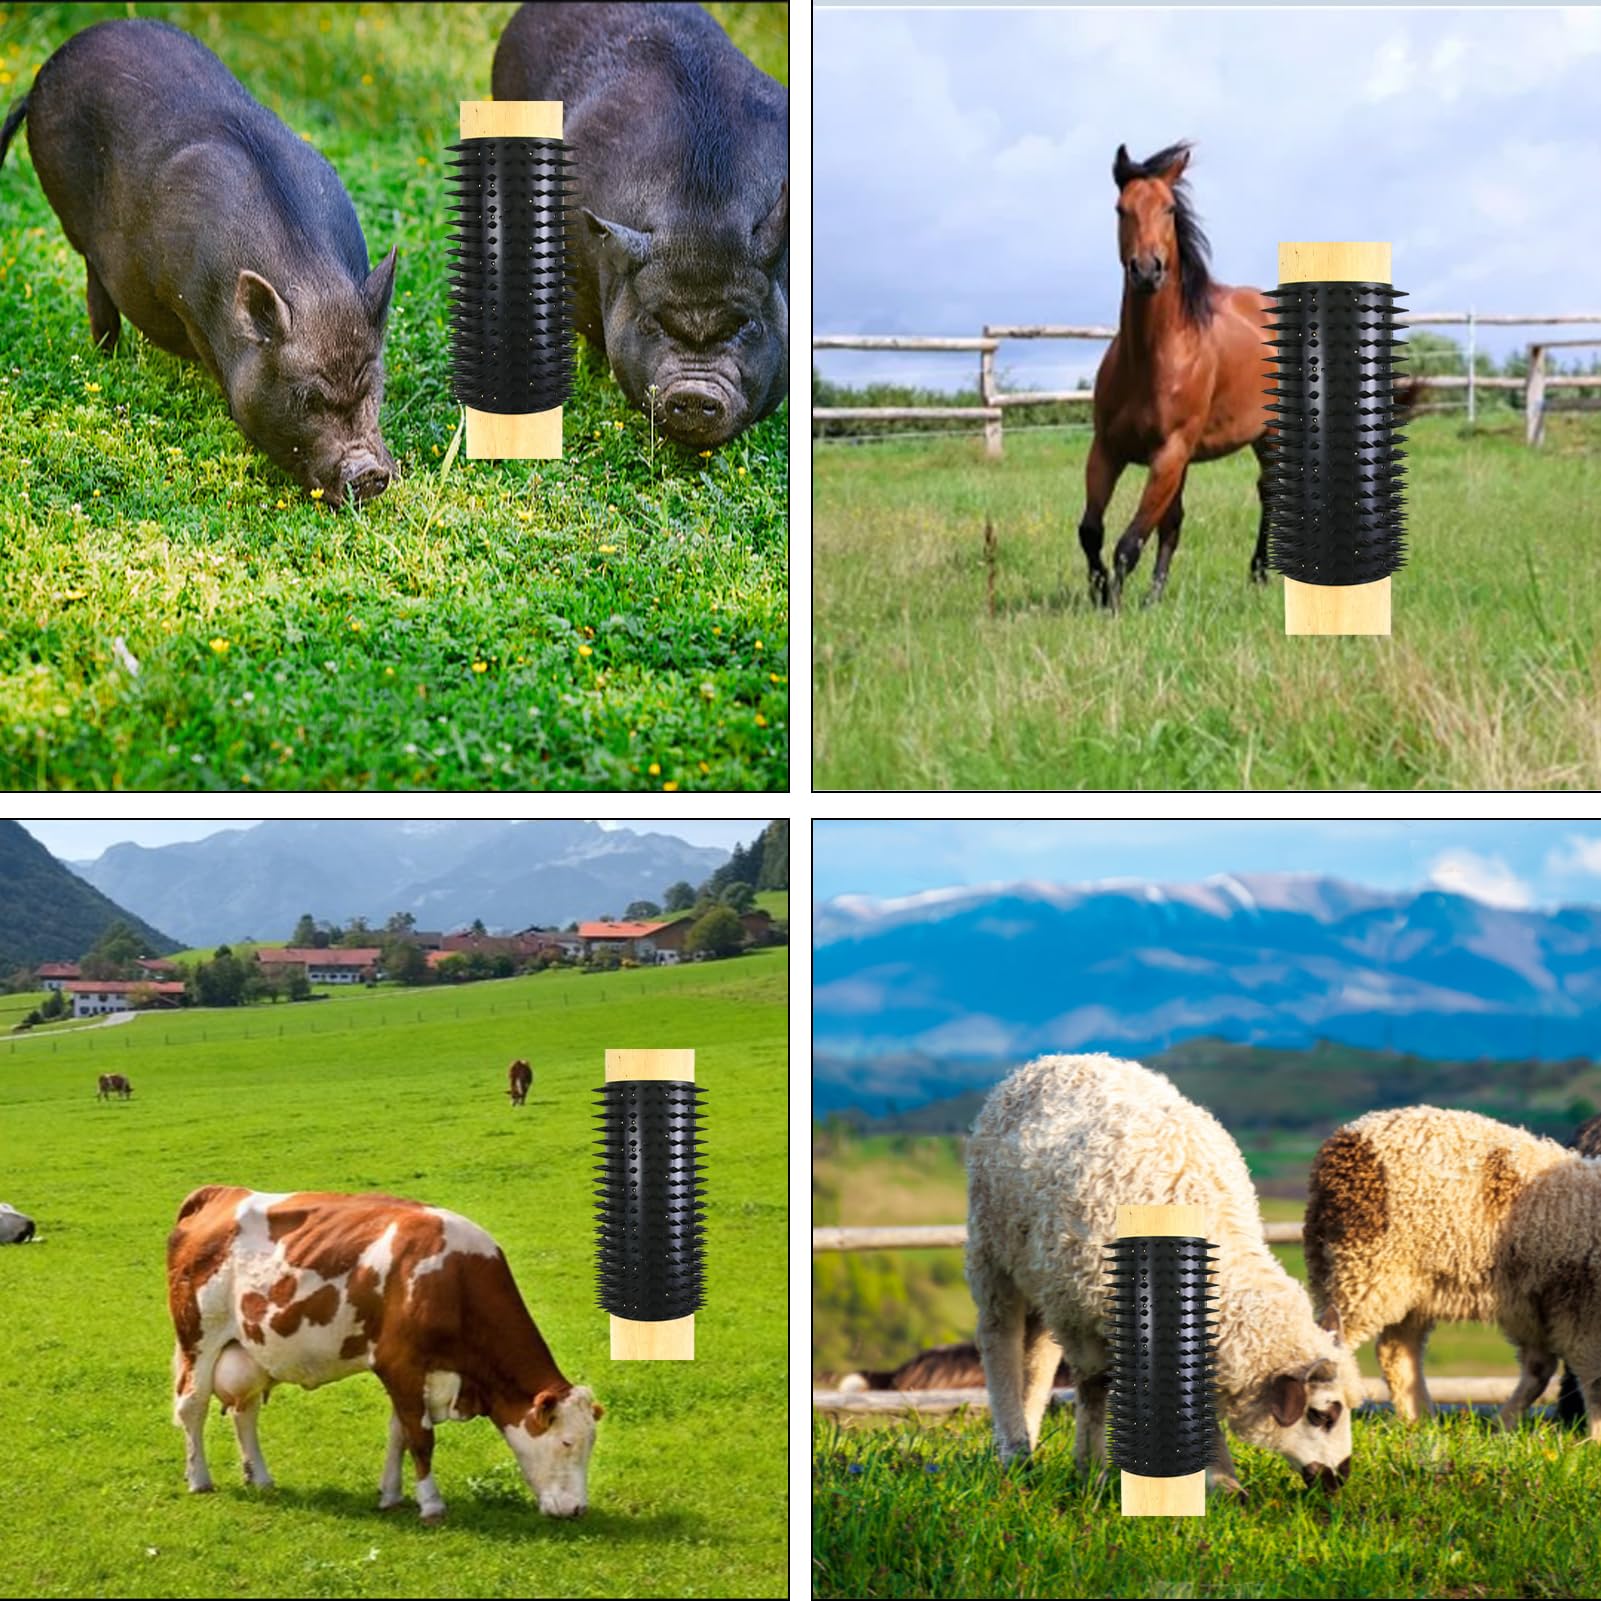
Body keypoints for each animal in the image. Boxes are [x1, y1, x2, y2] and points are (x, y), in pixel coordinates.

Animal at [966, 1052, 1361, 1496]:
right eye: (1322, 1415)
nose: (1339, 1477)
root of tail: (1054, 1061)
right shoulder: (1080, 1313)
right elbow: (1095, 1385)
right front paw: (1091, 1472)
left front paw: (1221, 1482)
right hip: (993, 1250)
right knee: (1000, 1339)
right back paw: (1014, 1450)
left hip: (1039, 1274)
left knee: (1037, 1357)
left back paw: (1028, 1440)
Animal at [1077, 141, 1272, 606]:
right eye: (1121, 209)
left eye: (1168, 208)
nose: (1147, 270)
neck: (1151, 358)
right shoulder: (1107, 450)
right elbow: (1092, 530)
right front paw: (1102, 593)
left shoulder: (1169, 453)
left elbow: (1129, 543)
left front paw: (1114, 607)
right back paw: (1156, 596)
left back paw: (1260, 573)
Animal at [1304, 1105, 1601, 1440]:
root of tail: (1349, 1136)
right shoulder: (1579, 1310)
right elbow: (1591, 1377)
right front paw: (1595, 1438)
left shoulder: (1536, 1306)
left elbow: (1541, 1368)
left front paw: (1503, 1427)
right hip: (1364, 1268)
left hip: (1411, 1284)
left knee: (1396, 1351)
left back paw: (1419, 1422)